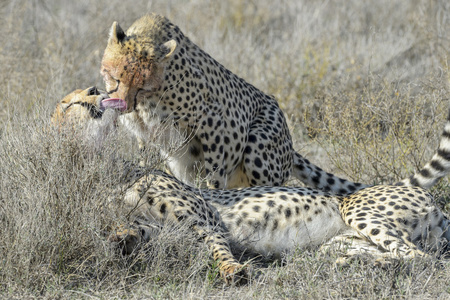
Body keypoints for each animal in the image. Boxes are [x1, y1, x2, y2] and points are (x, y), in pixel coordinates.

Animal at [55, 87, 450, 284]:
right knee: (398, 255)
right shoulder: (161, 229)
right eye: (71, 103)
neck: (109, 168)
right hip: (343, 241)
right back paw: (356, 264)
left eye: (80, 96)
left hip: (358, 209)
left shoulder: (204, 219)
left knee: (422, 259)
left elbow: (217, 246)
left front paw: (233, 272)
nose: (95, 90)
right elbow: (134, 232)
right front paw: (120, 237)